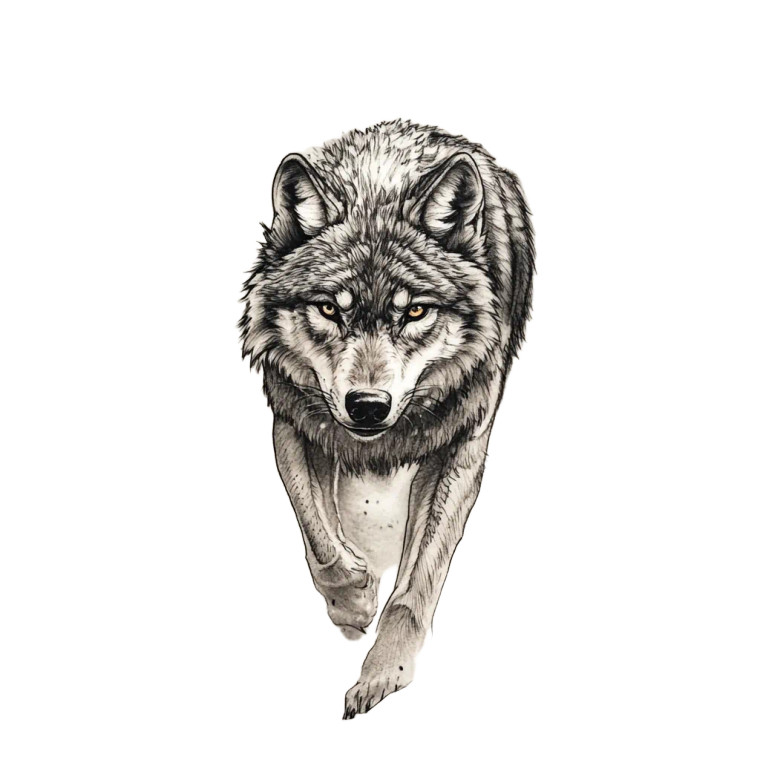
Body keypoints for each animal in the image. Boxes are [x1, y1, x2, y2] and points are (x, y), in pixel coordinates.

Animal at [239, 120, 535, 718]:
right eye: (330, 308)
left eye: (415, 311)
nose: (368, 406)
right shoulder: (293, 421)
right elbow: (321, 541)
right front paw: (354, 603)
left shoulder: (461, 446)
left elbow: (416, 583)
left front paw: (382, 673)